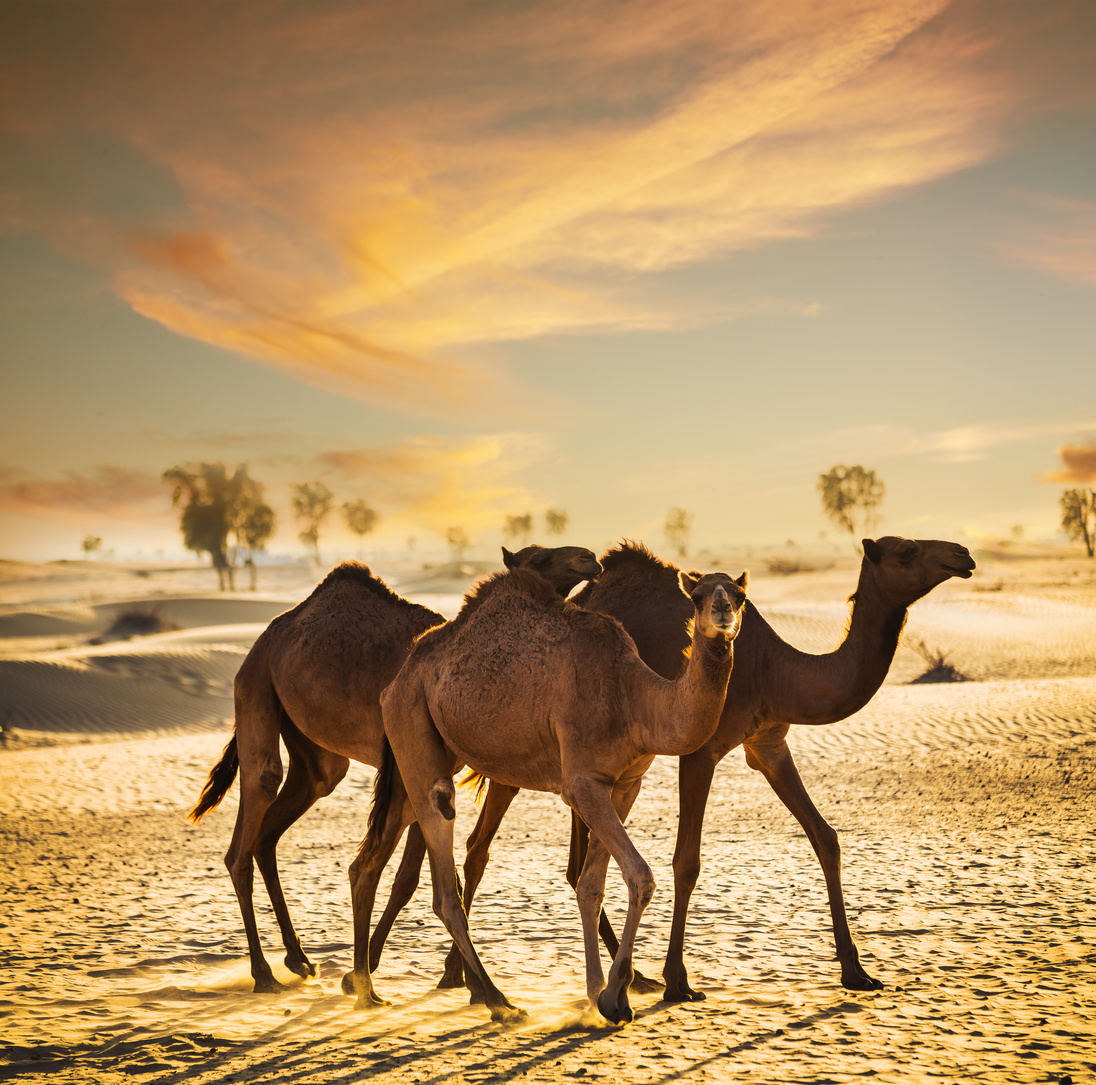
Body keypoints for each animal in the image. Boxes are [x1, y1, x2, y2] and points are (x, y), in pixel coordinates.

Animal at [187, 547, 600, 999]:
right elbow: (408, 876)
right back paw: (263, 972)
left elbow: (410, 877)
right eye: (538, 557)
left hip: (314, 754)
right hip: (255, 687)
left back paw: (298, 958)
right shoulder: (413, 766)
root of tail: (266, 639)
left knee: (281, 817)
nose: (588, 558)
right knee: (252, 810)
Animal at [346, 561, 749, 1025]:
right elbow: (639, 877)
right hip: (412, 722)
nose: (721, 610)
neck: (634, 699)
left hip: (420, 749)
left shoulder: (625, 784)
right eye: (697, 597)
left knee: (369, 860)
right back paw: (498, 1001)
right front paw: (615, 997)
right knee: (443, 873)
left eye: (740, 596)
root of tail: (397, 679)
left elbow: (591, 885)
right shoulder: (582, 783)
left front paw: (597, 992)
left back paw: (365, 990)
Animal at [412, 534, 977, 1003]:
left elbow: (825, 837)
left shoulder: (768, 744)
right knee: (481, 846)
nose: (962, 555)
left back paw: (606, 976)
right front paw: (677, 980)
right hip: (514, 749)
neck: (775, 670)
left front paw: (856, 971)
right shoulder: (700, 751)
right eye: (905, 550)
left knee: (568, 862)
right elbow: (687, 861)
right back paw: (470, 980)